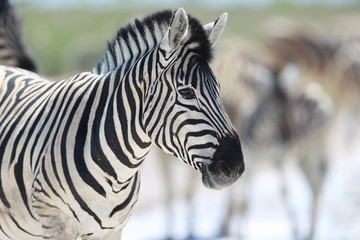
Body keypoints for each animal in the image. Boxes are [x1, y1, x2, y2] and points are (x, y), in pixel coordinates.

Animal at [0, 7, 245, 240]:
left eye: (219, 89)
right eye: (186, 92)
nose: (235, 167)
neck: (116, 172)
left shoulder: (112, 230)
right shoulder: (56, 223)